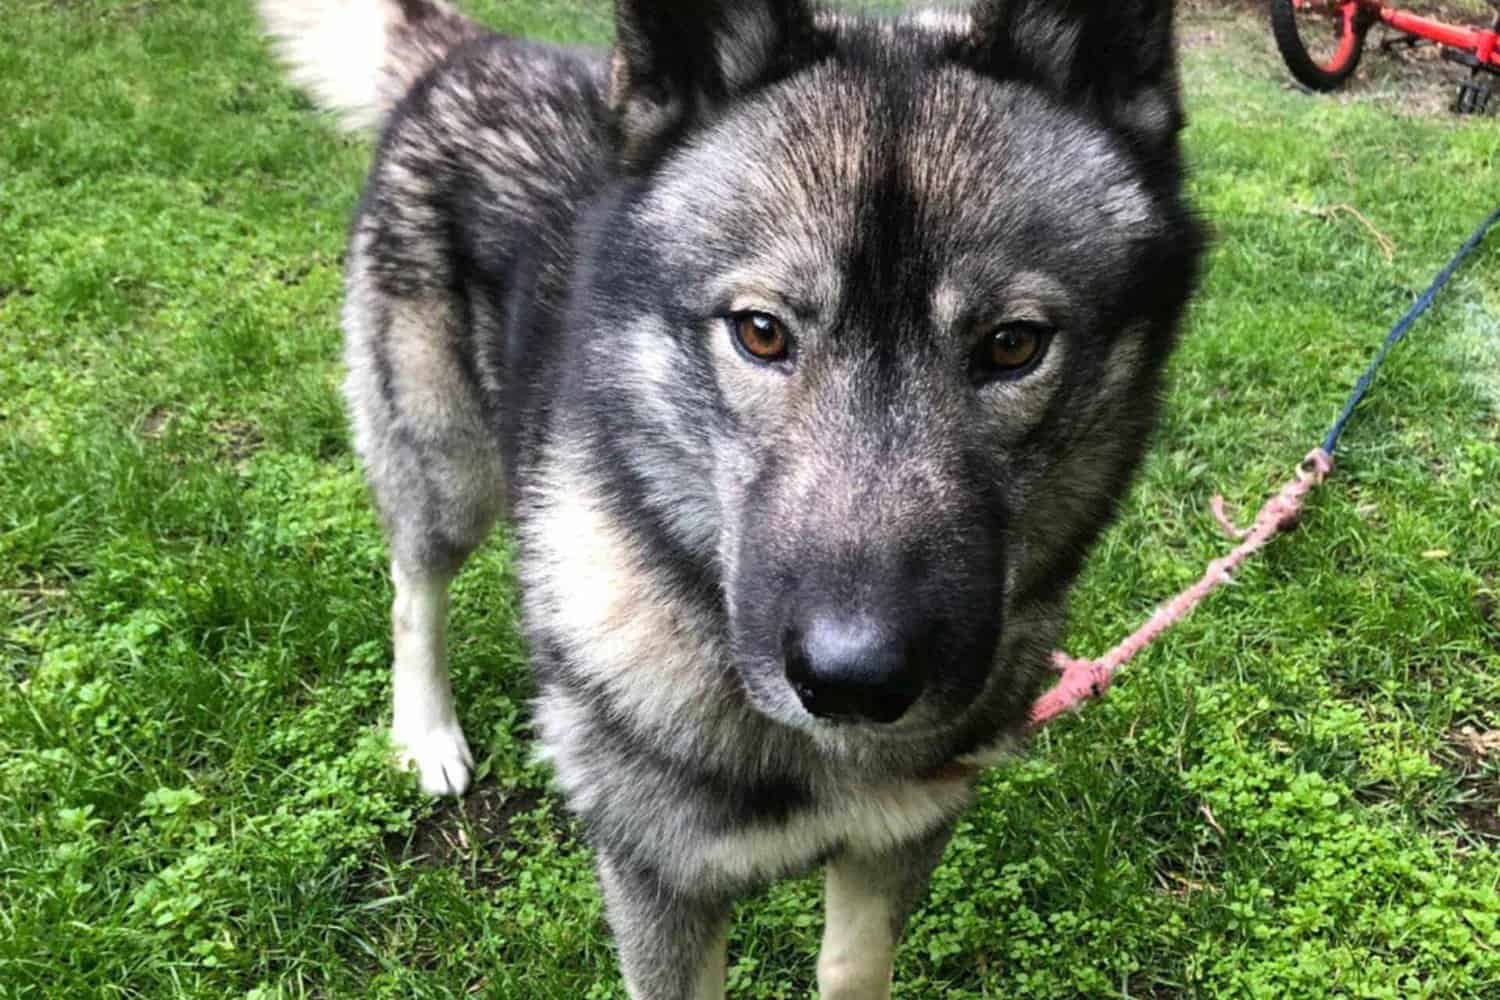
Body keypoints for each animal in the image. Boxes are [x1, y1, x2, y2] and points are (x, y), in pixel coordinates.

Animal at [255, 0, 1194, 995]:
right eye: (760, 332)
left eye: (1013, 345)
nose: (854, 680)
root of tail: (478, 49)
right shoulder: (659, 886)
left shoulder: (895, 847)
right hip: (448, 468)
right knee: (414, 591)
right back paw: (427, 733)